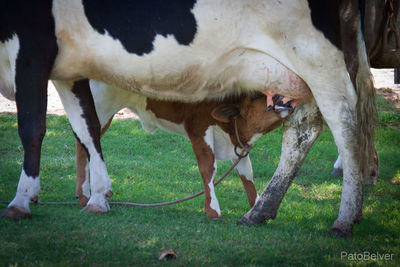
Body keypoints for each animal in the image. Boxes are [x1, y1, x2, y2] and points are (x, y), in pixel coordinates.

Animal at [76, 82, 292, 219]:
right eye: (256, 96)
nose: (283, 98)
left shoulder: (237, 142)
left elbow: (247, 173)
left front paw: (255, 206)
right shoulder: (198, 128)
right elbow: (208, 167)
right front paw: (213, 210)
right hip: (100, 108)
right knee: (84, 143)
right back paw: (86, 195)